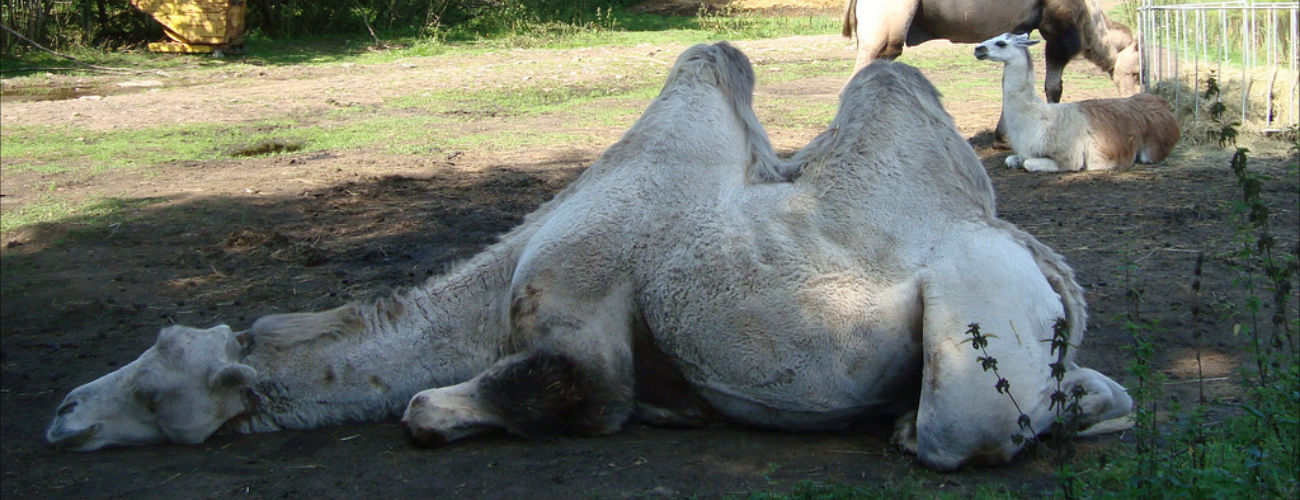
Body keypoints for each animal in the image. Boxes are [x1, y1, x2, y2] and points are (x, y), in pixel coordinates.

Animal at [46, 46, 1132, 470]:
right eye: (154, 341)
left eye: (157, 380)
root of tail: (1048, 263)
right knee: (1095, 394)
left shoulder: (579, 318)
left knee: (959, 429)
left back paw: (909, 427)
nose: (61, 413)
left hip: (977, 338)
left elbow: (452, 404)